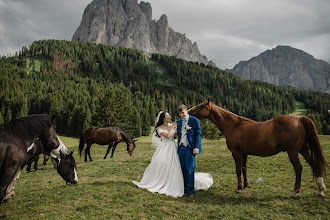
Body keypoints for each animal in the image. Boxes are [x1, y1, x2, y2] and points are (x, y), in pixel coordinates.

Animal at [188, 97, 328, 197]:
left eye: (202, 106)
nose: (188, 112)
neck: (234, 126)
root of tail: (299, 120)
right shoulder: (244, 153)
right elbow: (244, 169)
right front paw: (245, 185)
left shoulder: (236, 153)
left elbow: (238, 170)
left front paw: (239, 188)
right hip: (303, 149)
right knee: (314, 163)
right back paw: (321, 190)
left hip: (293, 152)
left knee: (298, 168)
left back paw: (295, 191)